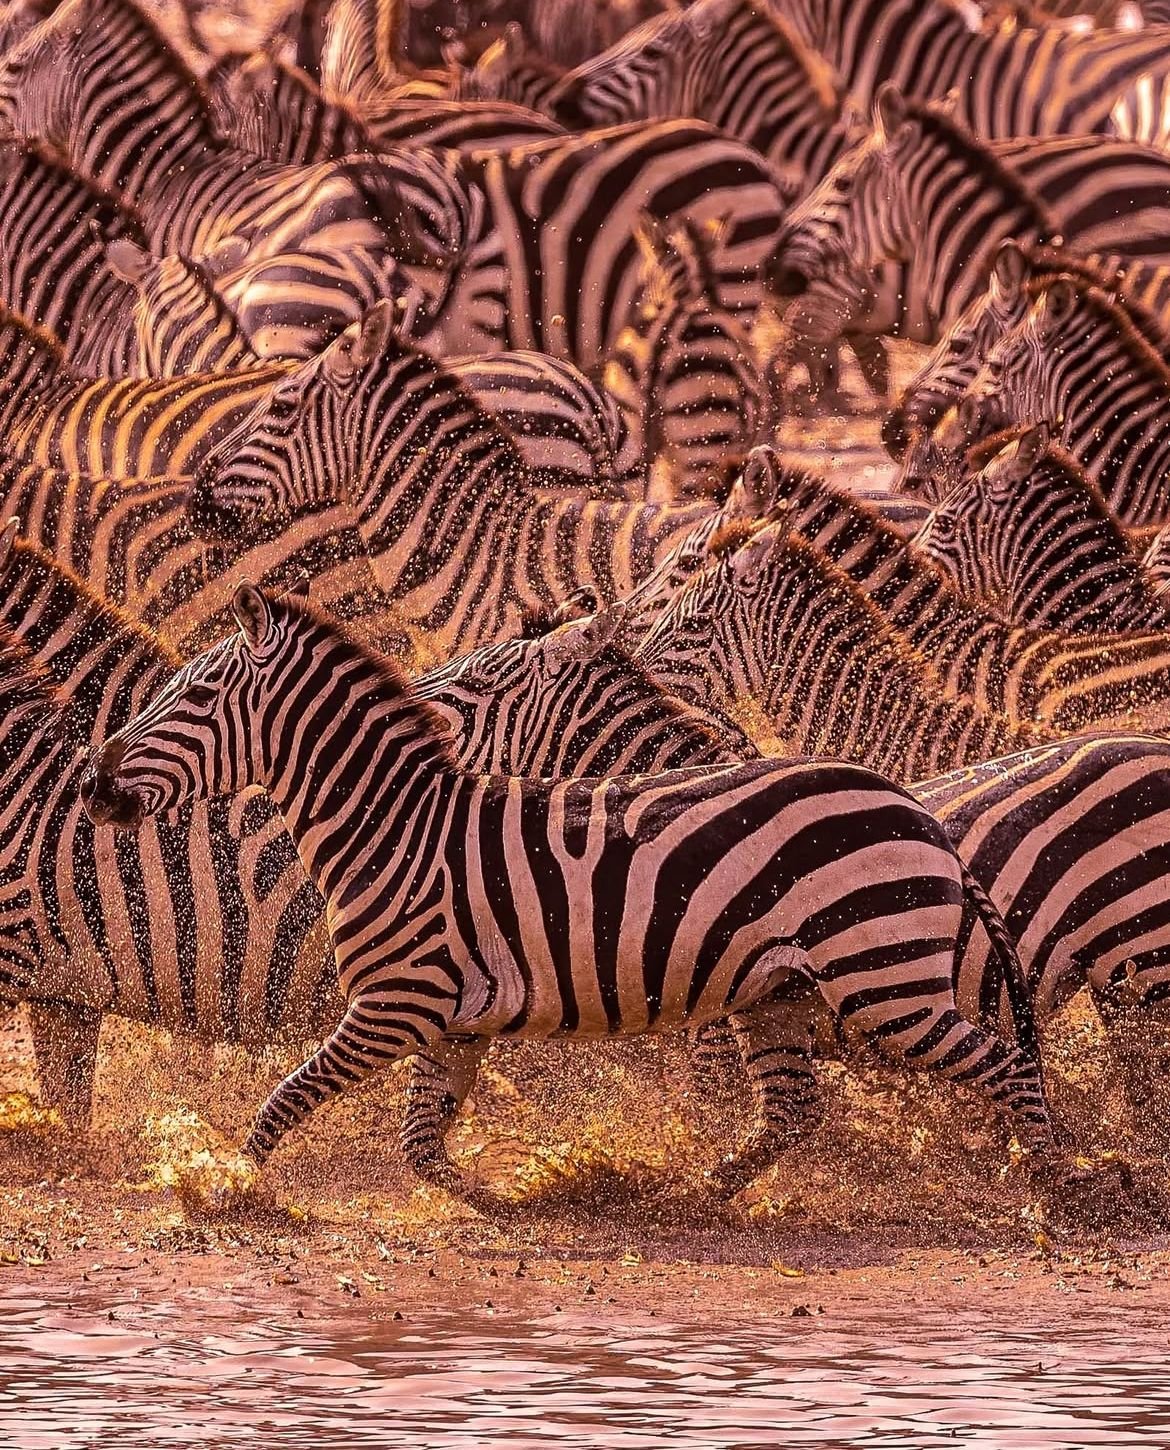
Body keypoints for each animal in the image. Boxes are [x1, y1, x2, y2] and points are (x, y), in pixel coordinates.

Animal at [83, 582, 1053, 1199]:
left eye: (193, 696)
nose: (93, 783)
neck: (394, 828)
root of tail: (914, 808)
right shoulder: (453, 1019)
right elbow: (419, 1143)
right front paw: (511, 1194)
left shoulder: (397, 1002)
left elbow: (286, 1098)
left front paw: (226, 1184)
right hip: (780, 991)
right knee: (792, 1109)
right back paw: (691, 1195)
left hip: (885, 980)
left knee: (1005, 1067)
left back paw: (1048, 1188)